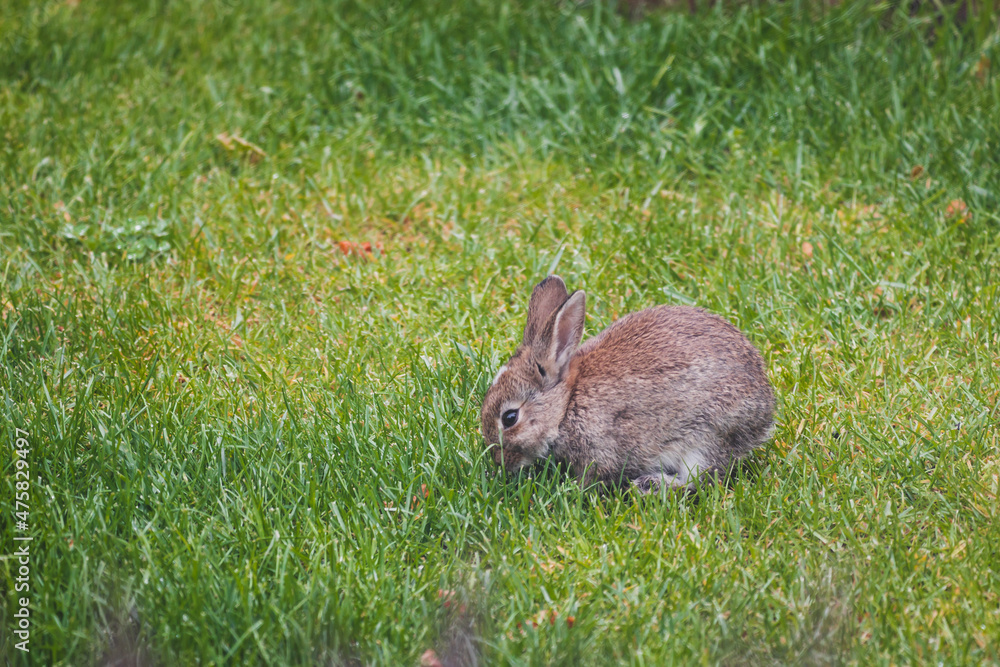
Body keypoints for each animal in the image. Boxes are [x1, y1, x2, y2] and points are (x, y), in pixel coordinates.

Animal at [480, 275, 775, 492]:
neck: (565, 405)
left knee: (699, 480)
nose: (500, 463)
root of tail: (765, 410)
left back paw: (650, 485)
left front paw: (572, 489)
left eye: (510, 418)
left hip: (706, 436)